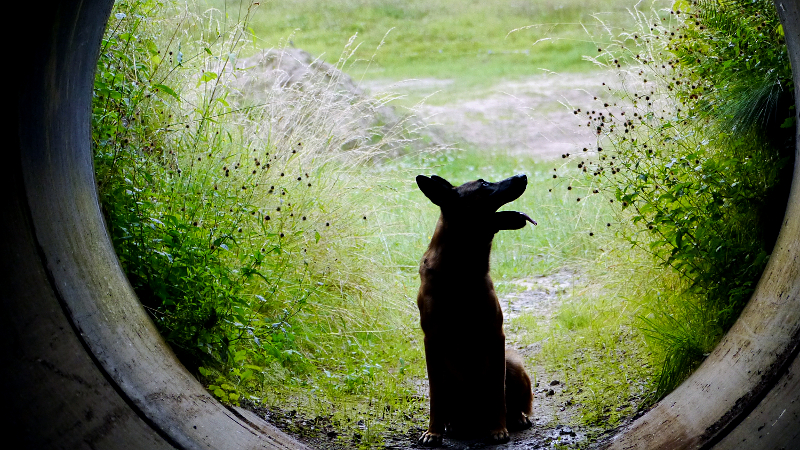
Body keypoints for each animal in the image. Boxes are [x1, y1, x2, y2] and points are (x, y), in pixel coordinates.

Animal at [416, 174, 536, 444]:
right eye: (483, 185)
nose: (522, 176)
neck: (461, 270)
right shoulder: (432, 342)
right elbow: (435, 395)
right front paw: (433, 431)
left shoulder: (495, 336)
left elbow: (496, 391)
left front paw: (498, 429)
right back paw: (452, 424)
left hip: (512, 363)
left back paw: (515, 417)